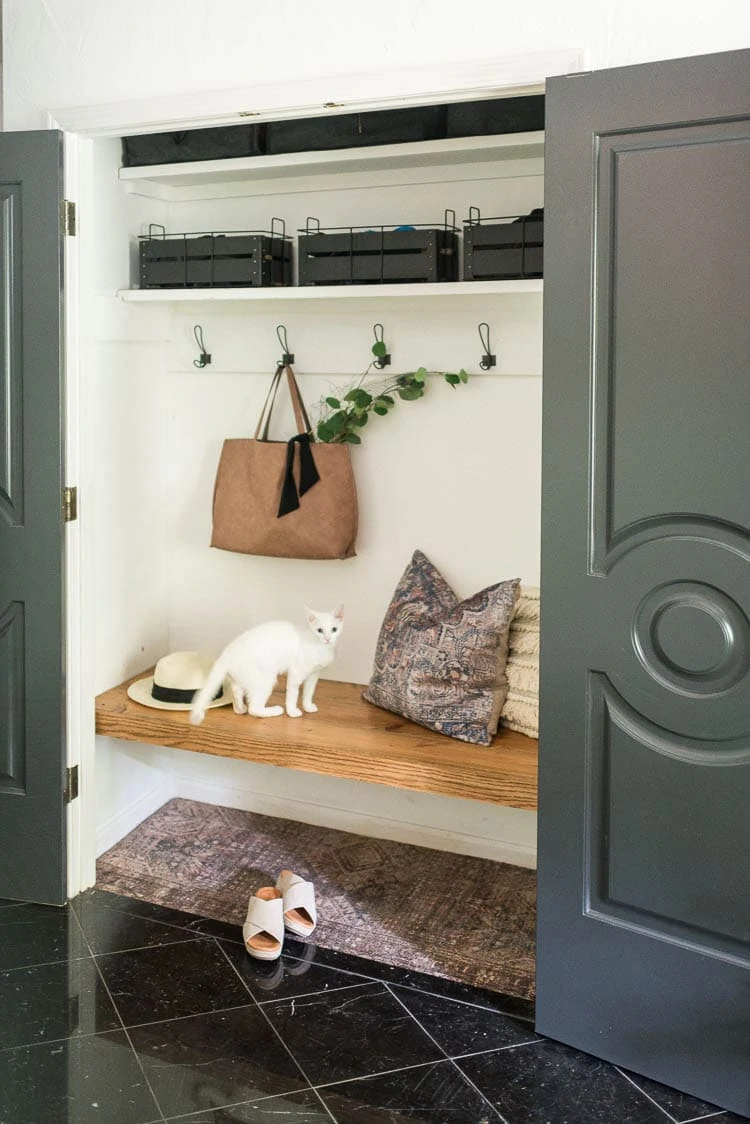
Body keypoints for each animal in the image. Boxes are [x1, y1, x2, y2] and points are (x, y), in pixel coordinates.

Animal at [192, 611, 348, 723]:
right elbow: (293, 694)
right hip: (265, 680)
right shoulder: (296, 672)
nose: (327, 638)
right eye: (319, 630)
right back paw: (274, 710)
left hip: (244, 677)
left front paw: (308, 706)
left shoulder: (314, 675)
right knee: (254, 709)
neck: (320, 648)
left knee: (236, 690)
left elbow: (309, 692)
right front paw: (292, 712)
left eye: (334, 629)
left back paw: (240, 708)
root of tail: (226, 652)